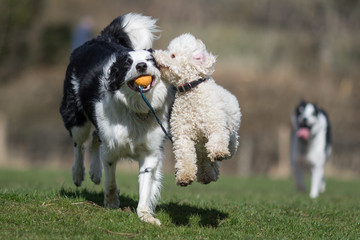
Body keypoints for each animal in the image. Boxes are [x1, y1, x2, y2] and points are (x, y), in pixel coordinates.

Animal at [59, 12, 174, 225]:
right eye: (128, 63)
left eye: (150, 60)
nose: (141, 65)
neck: (136, 109)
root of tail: (102, 37)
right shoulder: (111, 147)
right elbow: (111, 177)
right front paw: (112, 202)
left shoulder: (151, 152)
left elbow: (146, 184)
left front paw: (145, 215)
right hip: (76, 117)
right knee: (79, 144)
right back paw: (78, 174)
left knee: (95, 136)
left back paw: (95, 173)